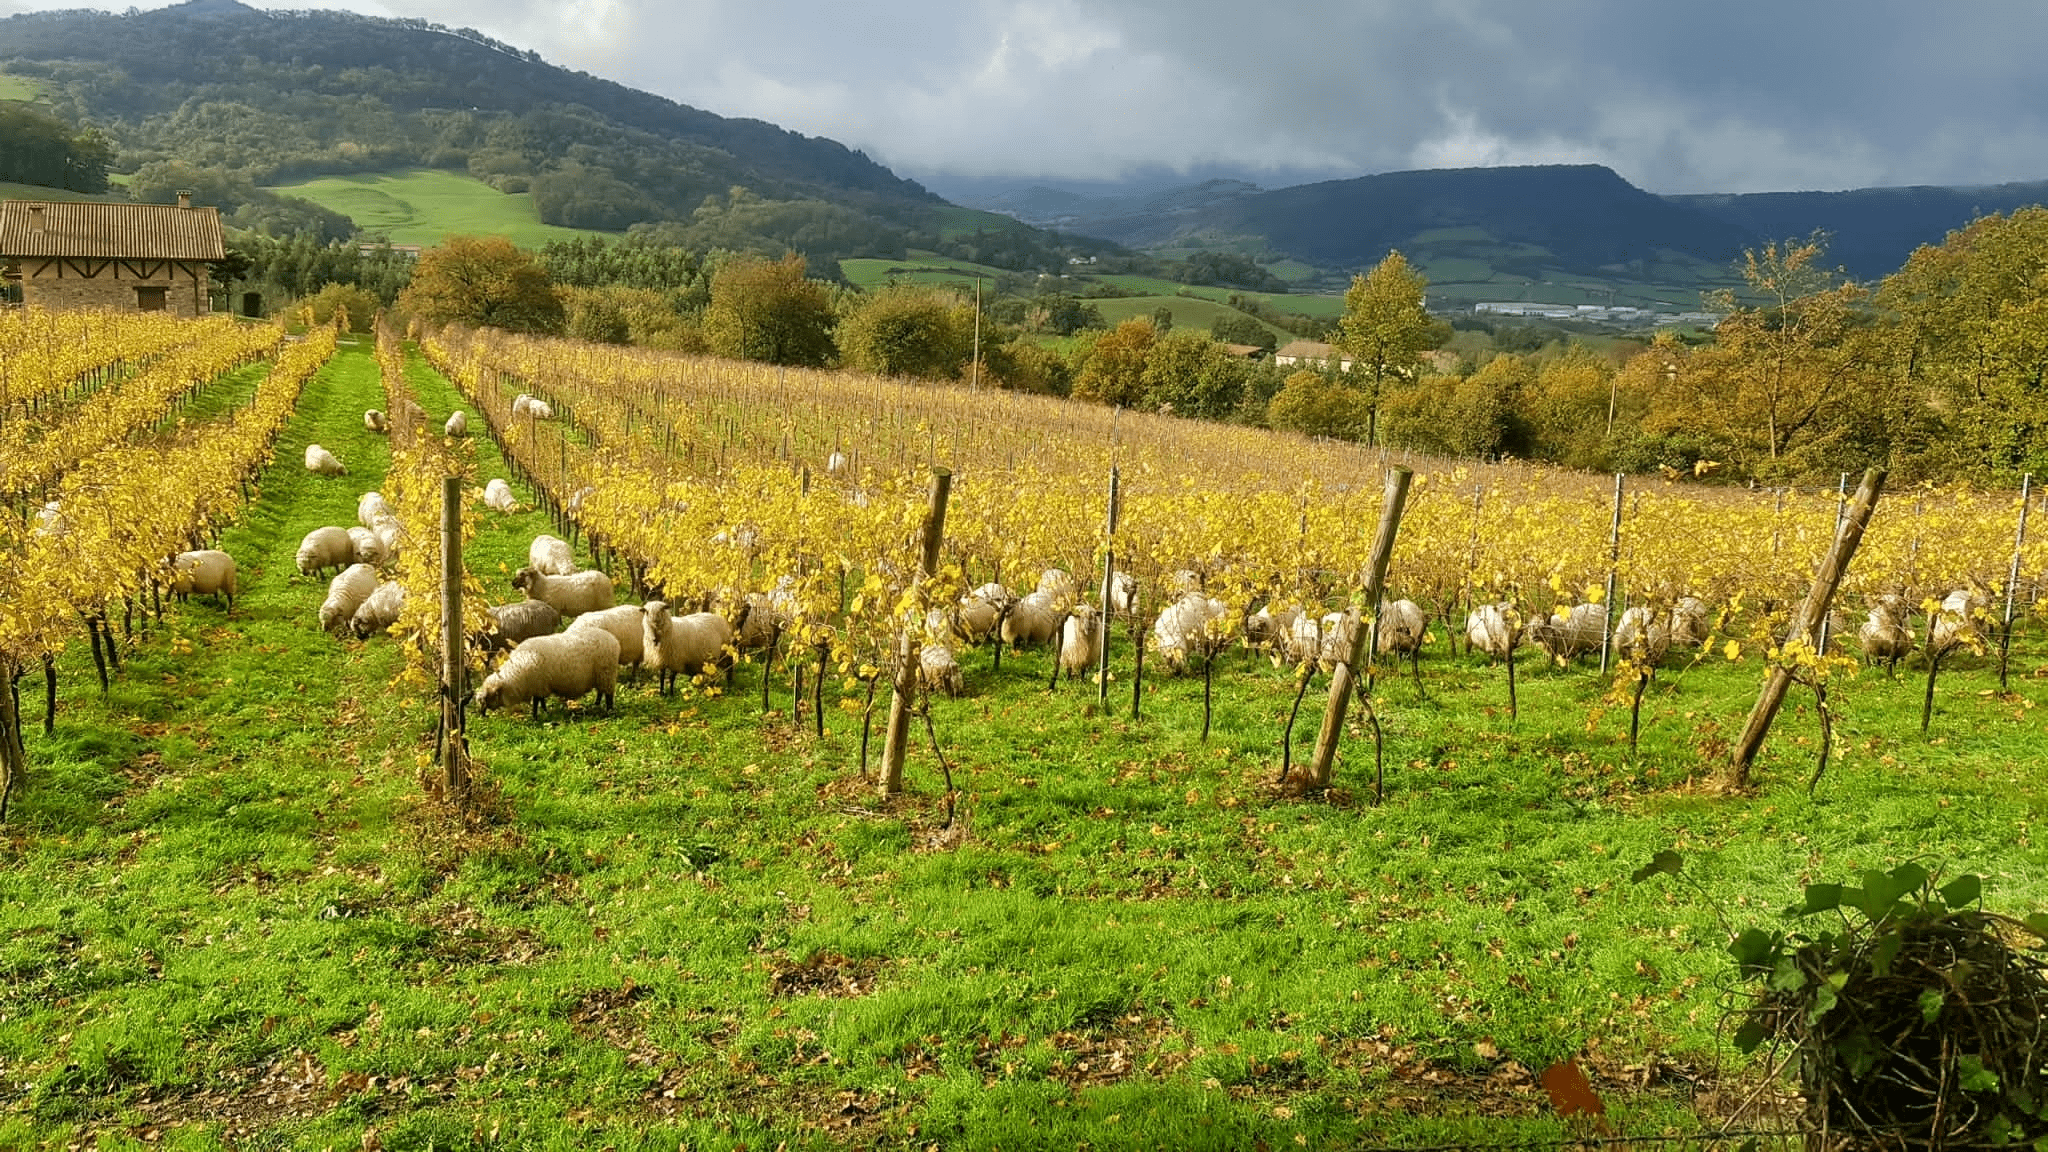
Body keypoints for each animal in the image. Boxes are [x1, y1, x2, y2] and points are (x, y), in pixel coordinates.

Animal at [477, 623, 614, 713]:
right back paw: (596, 704)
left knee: (608, 695)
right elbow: (540, 701)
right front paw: (544, 711)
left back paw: (609, 710)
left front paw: (536, 716)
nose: (482, 713)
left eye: (489, 697)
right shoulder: (539, 686)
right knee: (600, 692)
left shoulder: (538, 685)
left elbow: (536, 702)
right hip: (601, 676)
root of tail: (612, 638)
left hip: (606, 673)